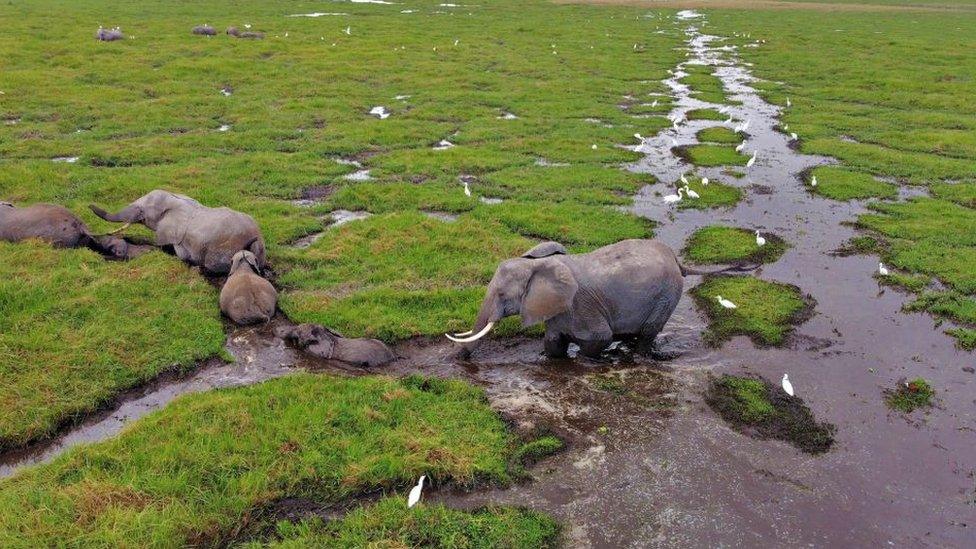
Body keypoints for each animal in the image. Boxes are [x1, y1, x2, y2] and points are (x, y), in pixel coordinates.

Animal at [90, 189, 264, 274]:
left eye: (142, 211)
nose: (88, 205)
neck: (175, 199)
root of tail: (255, 235)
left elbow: (165, 247)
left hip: (223, 248)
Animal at [446, 238, 752, 358]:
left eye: (501, 294)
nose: (460, 361)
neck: (537, 265)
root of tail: (677, 260)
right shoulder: (557, 309)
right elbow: (553, 343)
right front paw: (549, 356)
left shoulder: (580, 306)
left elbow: (598, 339)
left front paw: (591, 358)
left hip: (667, 294)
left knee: (648, 333)